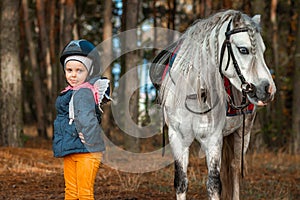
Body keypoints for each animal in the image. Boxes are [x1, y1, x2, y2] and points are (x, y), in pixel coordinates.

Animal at [150, 10, 276, 200]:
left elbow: (214, 184)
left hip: (243, 133)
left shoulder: (213, 139)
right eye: (243, 49)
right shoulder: (177, 138)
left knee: (234, 169)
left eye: (263, 50)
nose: (268, 90)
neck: (194, 92)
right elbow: (181, 182)